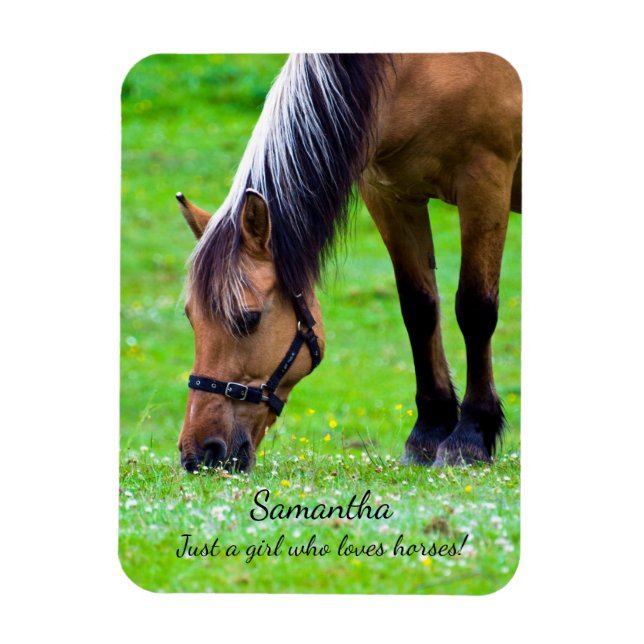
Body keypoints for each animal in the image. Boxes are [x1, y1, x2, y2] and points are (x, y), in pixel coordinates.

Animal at [175, 53, 522, 473]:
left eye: (248, 318)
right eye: (191, 318)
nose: (199, 454)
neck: (414, 70)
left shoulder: (485, 181)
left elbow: (475, 309)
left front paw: (469, 437)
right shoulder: (390, 193)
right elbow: (419, 310)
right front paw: (428, 432)